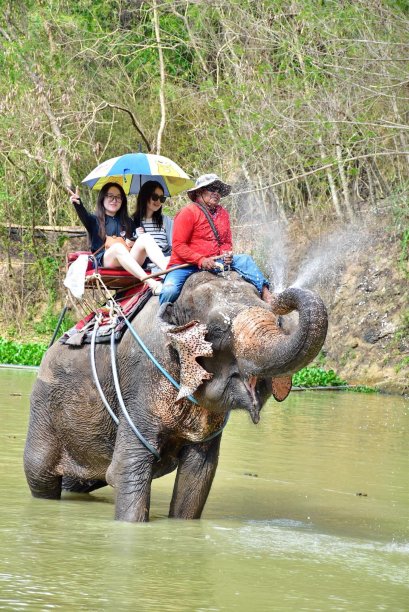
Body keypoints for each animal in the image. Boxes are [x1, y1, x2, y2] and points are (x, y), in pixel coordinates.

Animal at [23, 272, 326, 520]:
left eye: (277, 320)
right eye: (218, 329)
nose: (278, 297)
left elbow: (198, 476)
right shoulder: (142, 377)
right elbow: (127, 469)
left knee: (80, 480)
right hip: (45, 410)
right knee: (40, 475)